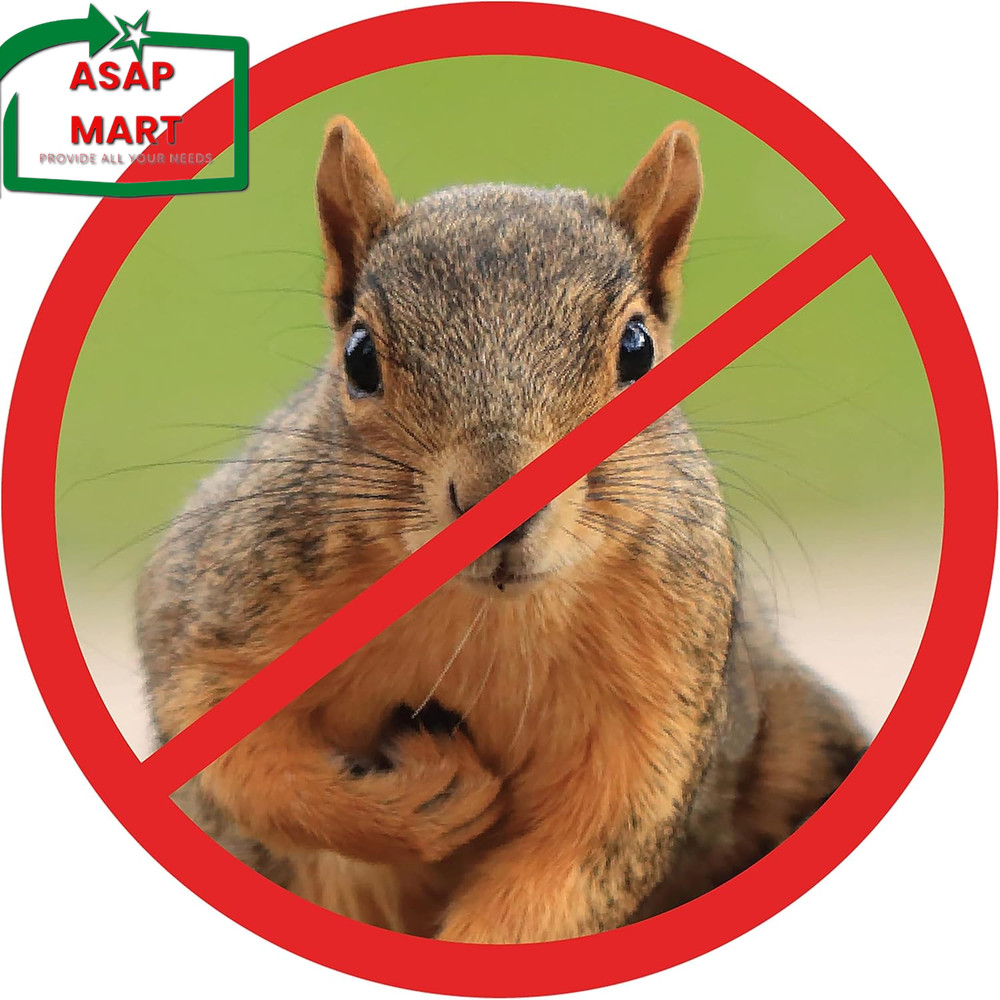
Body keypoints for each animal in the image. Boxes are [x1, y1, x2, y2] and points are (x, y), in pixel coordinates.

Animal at [136, 116, 869, 943]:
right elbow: (222, 738)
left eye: (639, 349)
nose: (502, 499)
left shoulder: (660, 705)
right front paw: (420, 799)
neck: (484, 616)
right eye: (359, 356)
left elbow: (573, 862)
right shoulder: (222, 596)